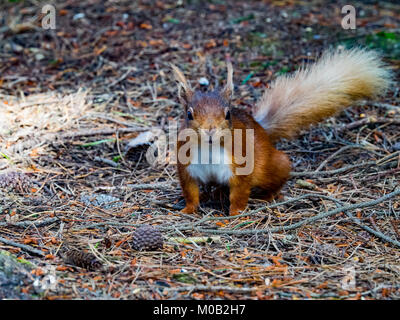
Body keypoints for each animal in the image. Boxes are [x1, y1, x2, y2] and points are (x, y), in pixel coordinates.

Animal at [171, 48, 390, 216]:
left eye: (227, 114)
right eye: (189, 114)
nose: (210, 130)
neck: (209, 149)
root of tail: (262, 130)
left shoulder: (241, 165)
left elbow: (239, 194)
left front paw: (235, 214)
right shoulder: (187, 168)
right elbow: (190, 192)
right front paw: (187, 210)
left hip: (271, 166)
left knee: (278, 176)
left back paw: (267, 196)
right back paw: (213, 193)